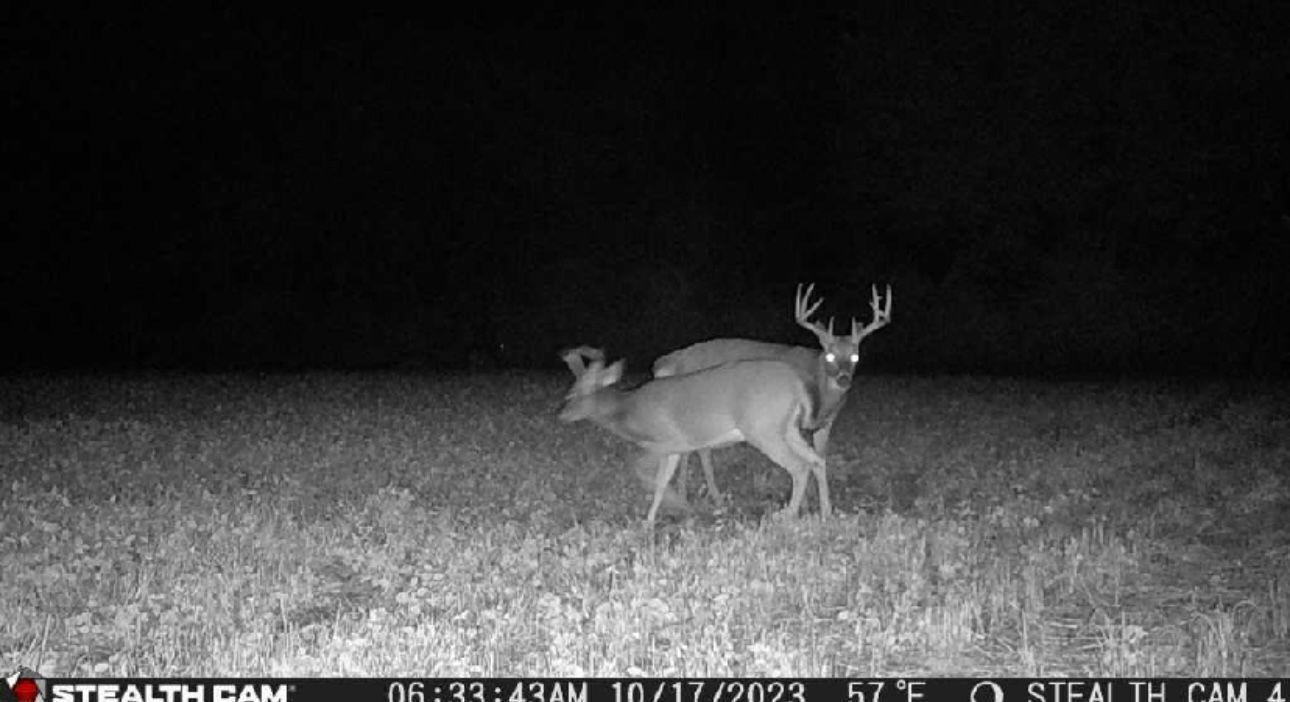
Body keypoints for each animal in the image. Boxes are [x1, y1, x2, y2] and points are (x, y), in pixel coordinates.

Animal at [557, 345, 828, 523]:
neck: (630, 410)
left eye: (573, 394)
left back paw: (788, 516)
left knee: (799, 467)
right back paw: (826, 512)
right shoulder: (678, 448)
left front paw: (674, 506)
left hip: (763, 429)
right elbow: (662, 481)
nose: (560, 414)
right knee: (817, 460)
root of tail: (797, 382)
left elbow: (644, 472)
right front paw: (656, 517)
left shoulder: (666, 441)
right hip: (787, 428)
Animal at [652, 283, 892, 507]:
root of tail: (669, 360)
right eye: (830, 355)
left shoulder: (825, 425)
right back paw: (697, 496)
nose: (844, 379)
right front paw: (804, 504)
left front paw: (821, 505)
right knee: (695, 450)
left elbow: (820, 458)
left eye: (855, 357)